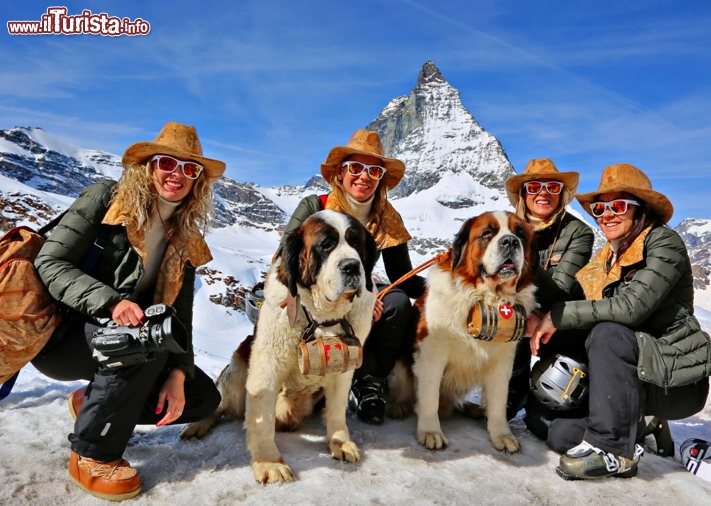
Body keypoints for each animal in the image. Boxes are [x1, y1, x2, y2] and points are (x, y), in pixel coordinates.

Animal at [181, 210, 378, 482]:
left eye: (356, 243)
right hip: (238, 369)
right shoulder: (267, 364)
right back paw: (198, 425)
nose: (351, 266)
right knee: (221, 403)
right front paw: (269, 462)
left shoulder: (345, 366)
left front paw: (340, 443)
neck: (321, 317)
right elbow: (261, 419)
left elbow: (337, 410)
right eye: (325, 245)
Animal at [390, 211, 536, 452]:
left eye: (521, 234)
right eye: (487, 233)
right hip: (400, 368)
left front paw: (501, 434)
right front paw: (430, 431)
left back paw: (473, 408)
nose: (510, 241)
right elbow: (429, 397)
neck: (483, 298)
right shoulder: (432, 353)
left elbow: (499, 401)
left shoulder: (503, 361)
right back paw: (397, 407)